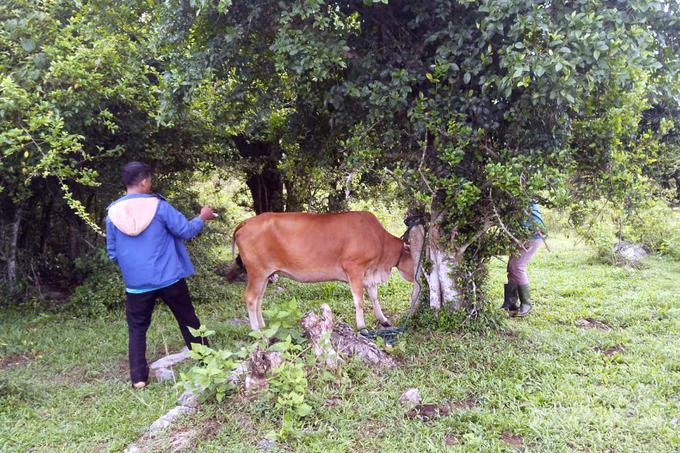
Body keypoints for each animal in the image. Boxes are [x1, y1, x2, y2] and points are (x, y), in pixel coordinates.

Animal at [232, 210, 414, 330]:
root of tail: (247, 222)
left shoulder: (368, 272)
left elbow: (374, 296)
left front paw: (382, 319)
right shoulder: (355, 268)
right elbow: (359, 299)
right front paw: (361, 326)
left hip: (265, 274)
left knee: (259, 298)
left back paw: (262, 325)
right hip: (257, 272)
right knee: (250, 297)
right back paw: (256, 330)